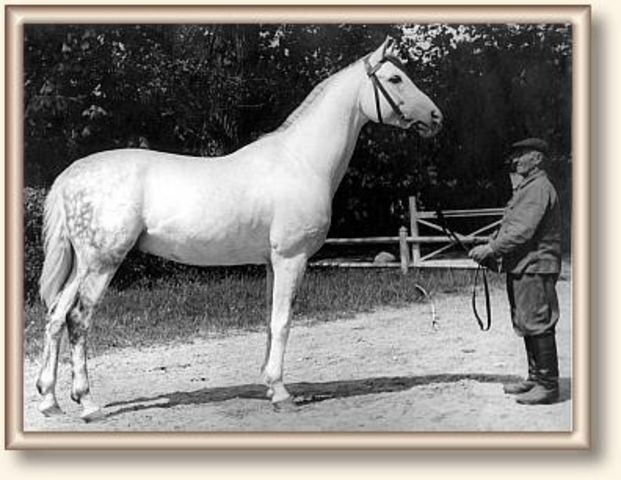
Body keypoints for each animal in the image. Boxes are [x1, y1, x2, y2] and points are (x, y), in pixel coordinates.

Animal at [35, 37, 440, 420]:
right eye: (395, 78)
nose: (436, 117)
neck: (300, 161)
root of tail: (71, 174)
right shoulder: (292, 259)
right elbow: (283, 321)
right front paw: (282, 394)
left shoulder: (272, 263)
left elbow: (270, 321)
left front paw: (269, 385)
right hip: (103, 263)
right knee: (78, 320)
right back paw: (87, 403)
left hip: (82, 264)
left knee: (55, 315)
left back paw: (49, 401)